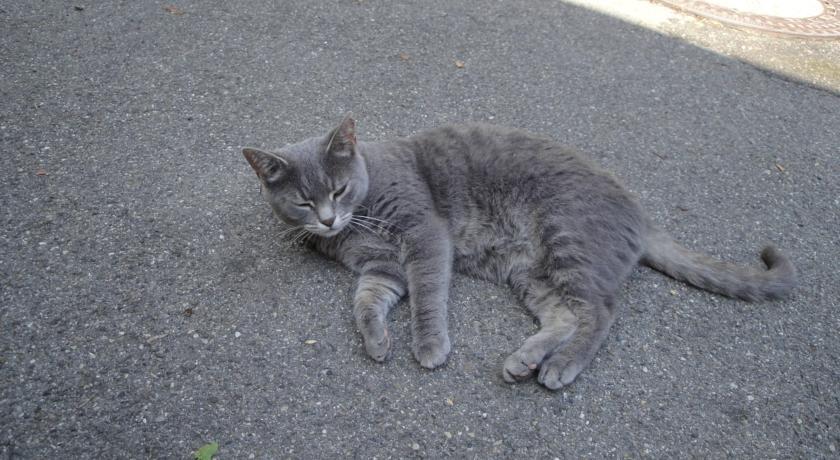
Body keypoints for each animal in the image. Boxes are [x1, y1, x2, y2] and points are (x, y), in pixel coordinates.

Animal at [241, 116, 796, 388]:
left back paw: (558, 367)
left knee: (599, 312)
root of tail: (640, 215)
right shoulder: (379, 267)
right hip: (532, 274)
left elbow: (427, 297)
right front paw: (377, 341)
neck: (359, 222)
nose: (327, 219)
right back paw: (525, 360)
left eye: (337, 190)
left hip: (566, 239)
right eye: (302, 201)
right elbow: (364, 303)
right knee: (565, 315)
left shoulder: (425, 237)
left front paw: (430, 346)